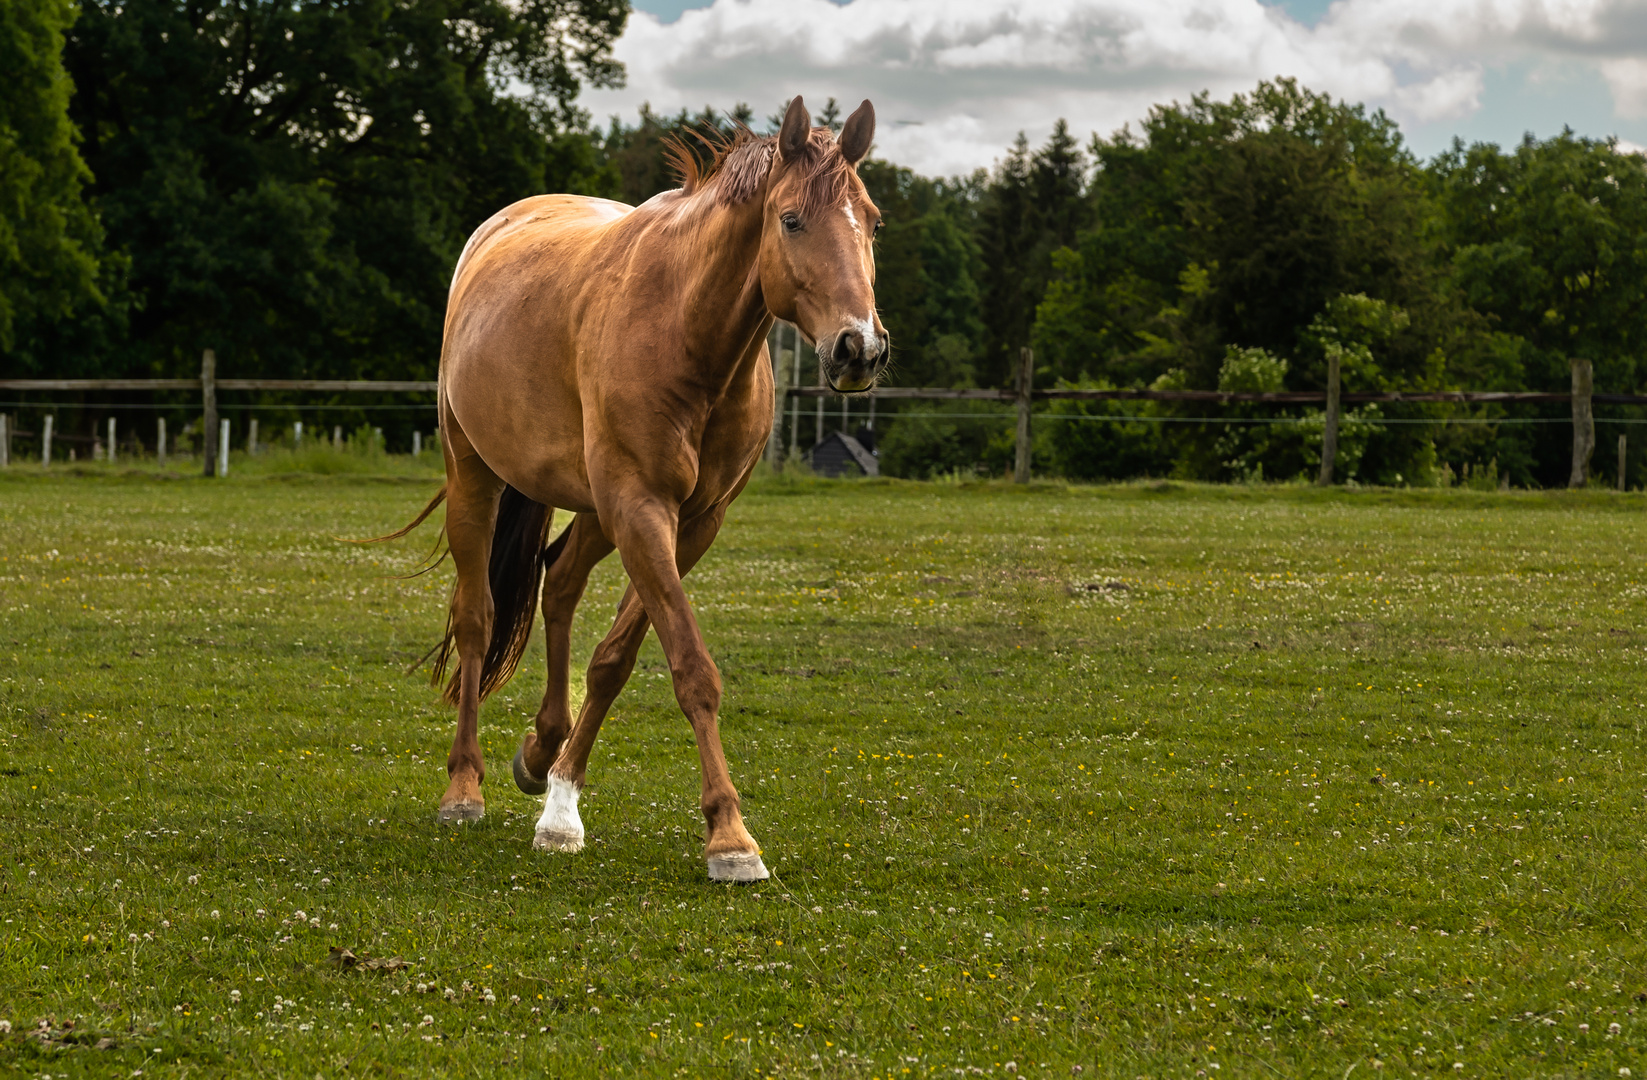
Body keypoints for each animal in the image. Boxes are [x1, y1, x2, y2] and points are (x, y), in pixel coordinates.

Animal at [377, 97, 889, 882]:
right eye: (792, 219)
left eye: (874, 220)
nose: (858, 348)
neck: (686, 332)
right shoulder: (641, 508)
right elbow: (691, 667)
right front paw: (730, 837)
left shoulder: (693, 522)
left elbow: (614, 661)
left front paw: (561, 803)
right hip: (476, 479)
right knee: (476, 620)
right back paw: (463, 787)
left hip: (593, 508)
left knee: (557, 582)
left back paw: (541, 750)